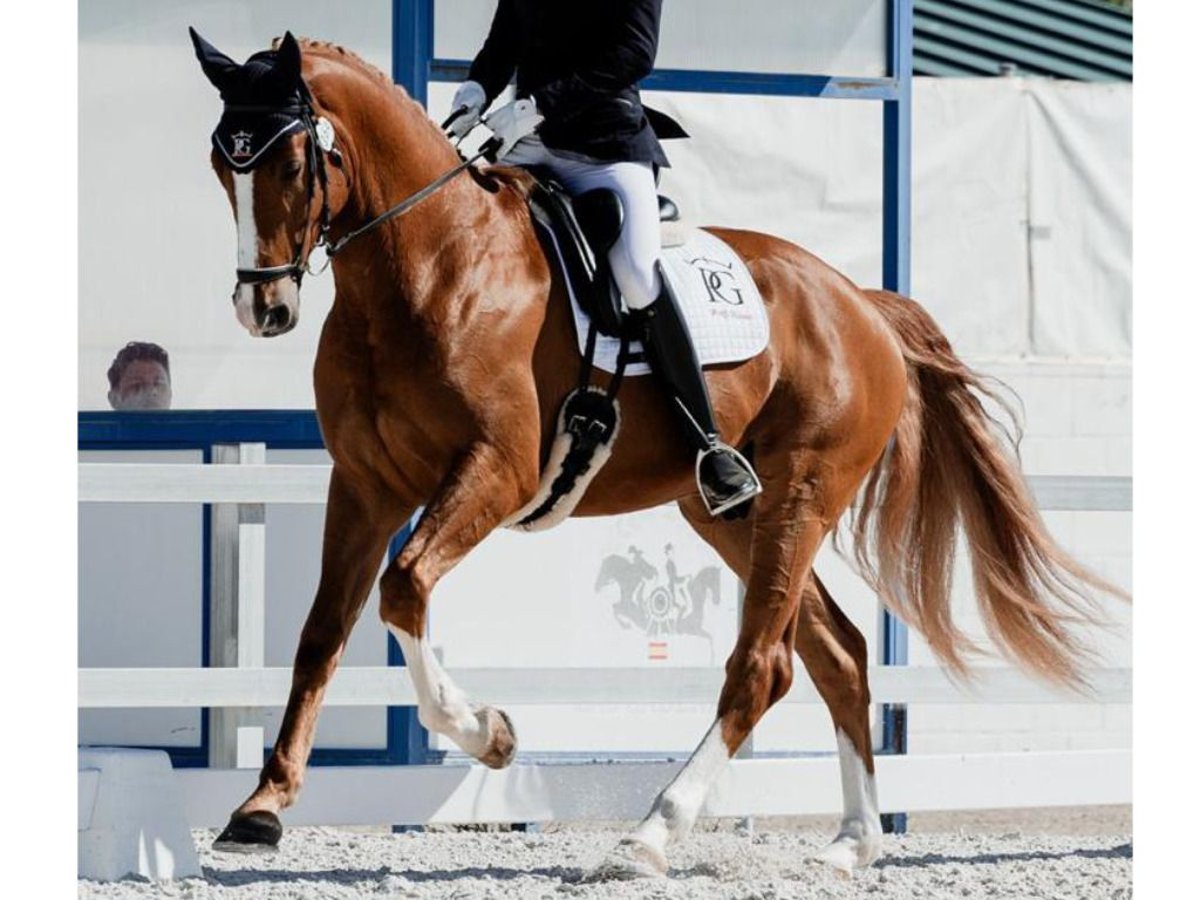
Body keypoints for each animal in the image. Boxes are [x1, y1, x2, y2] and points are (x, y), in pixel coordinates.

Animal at [194, 37, 1113, 883]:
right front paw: (261, 807)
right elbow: (322, 631)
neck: (427, 267)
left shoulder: (496, 470)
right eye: (220, 163)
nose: (262, 308)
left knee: (761, 667)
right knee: (838, 654)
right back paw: (852, 842)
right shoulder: (365, 484)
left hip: (802, 493)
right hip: (730, 514)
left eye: (291, 160)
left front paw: (489, 735)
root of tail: (859, 302)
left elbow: (405, 586)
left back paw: (648, 837)